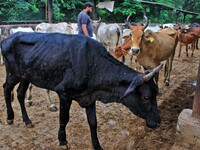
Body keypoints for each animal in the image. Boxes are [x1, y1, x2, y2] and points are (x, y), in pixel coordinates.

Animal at [1, 31, 161, 150]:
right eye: (146, 97)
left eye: (156, 94)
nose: (158, 123)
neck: (93, 63)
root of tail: (7, 39)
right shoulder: (64, 94)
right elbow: (64, 119)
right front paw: (62, 141)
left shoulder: (90, 97)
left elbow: (93, 122)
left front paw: (97, 146)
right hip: (13, 73)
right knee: (6, 89)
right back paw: (10, 117)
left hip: (26, 76)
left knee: (20, 94)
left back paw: (27, 120)